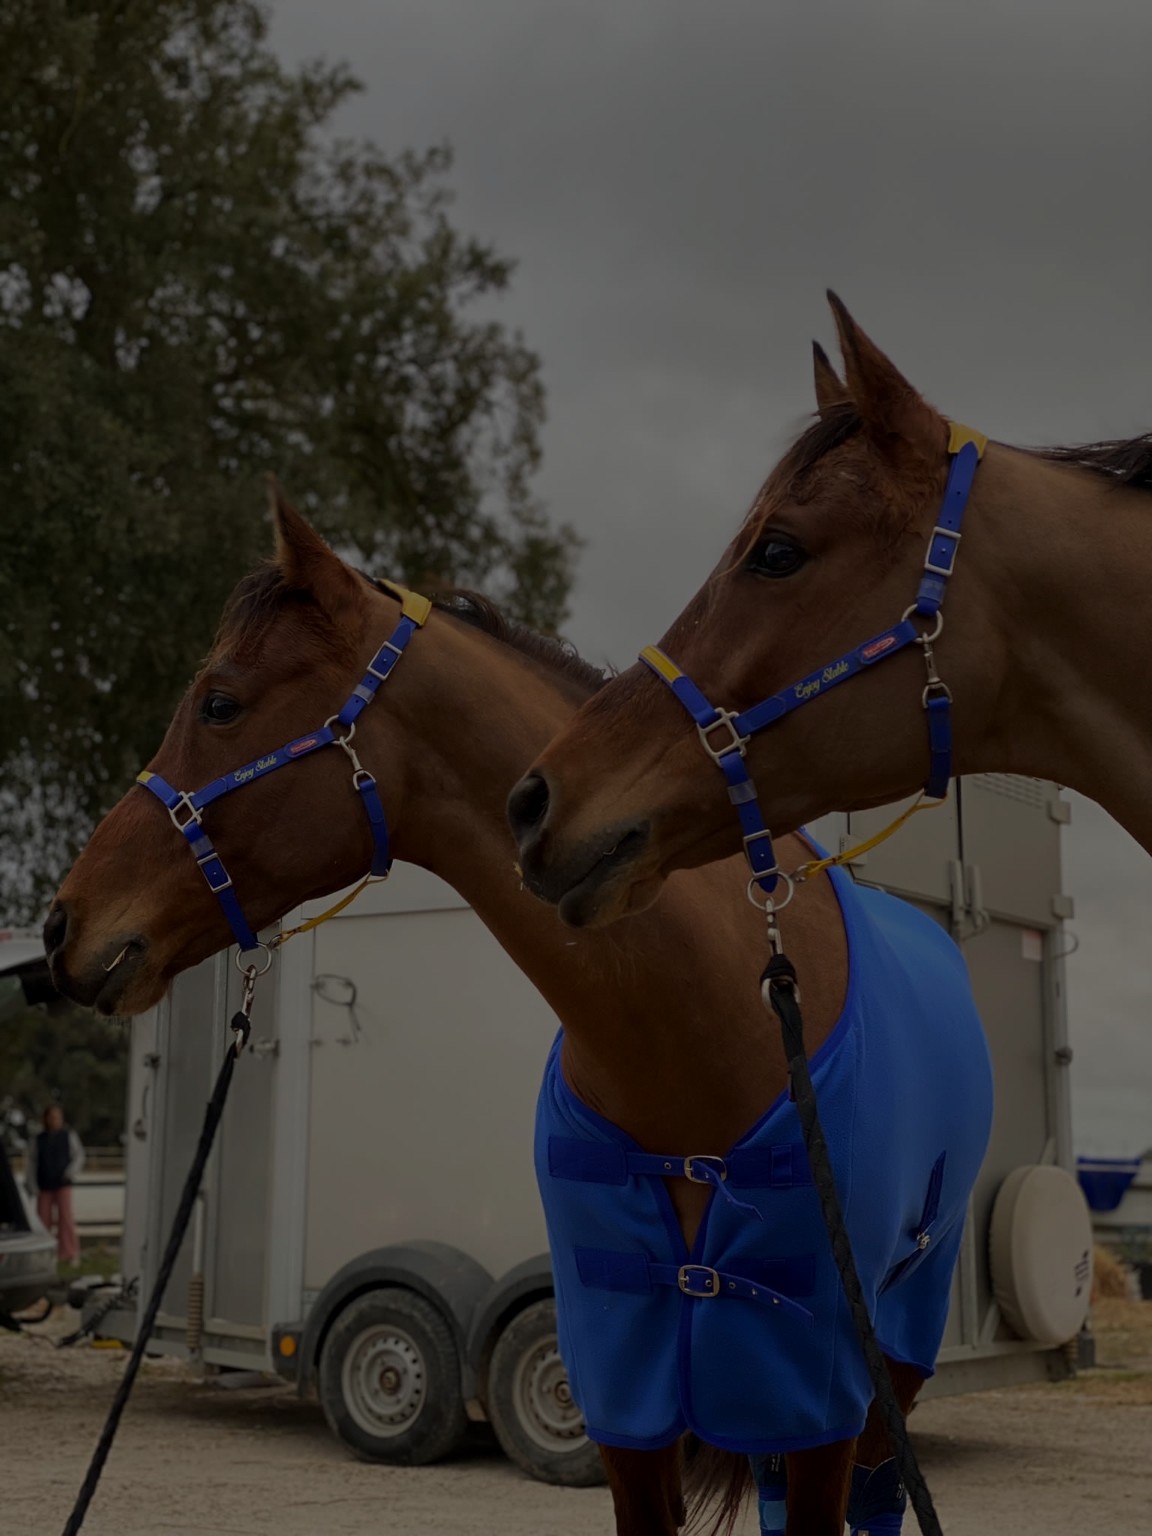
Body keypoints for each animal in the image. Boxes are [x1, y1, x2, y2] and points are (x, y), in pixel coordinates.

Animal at [44, 493, 992, 1536]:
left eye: (220, 702)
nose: (61, 924)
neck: (701, 1038)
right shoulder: (625, 1389)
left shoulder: (816, 1384)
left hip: (891, 1359)